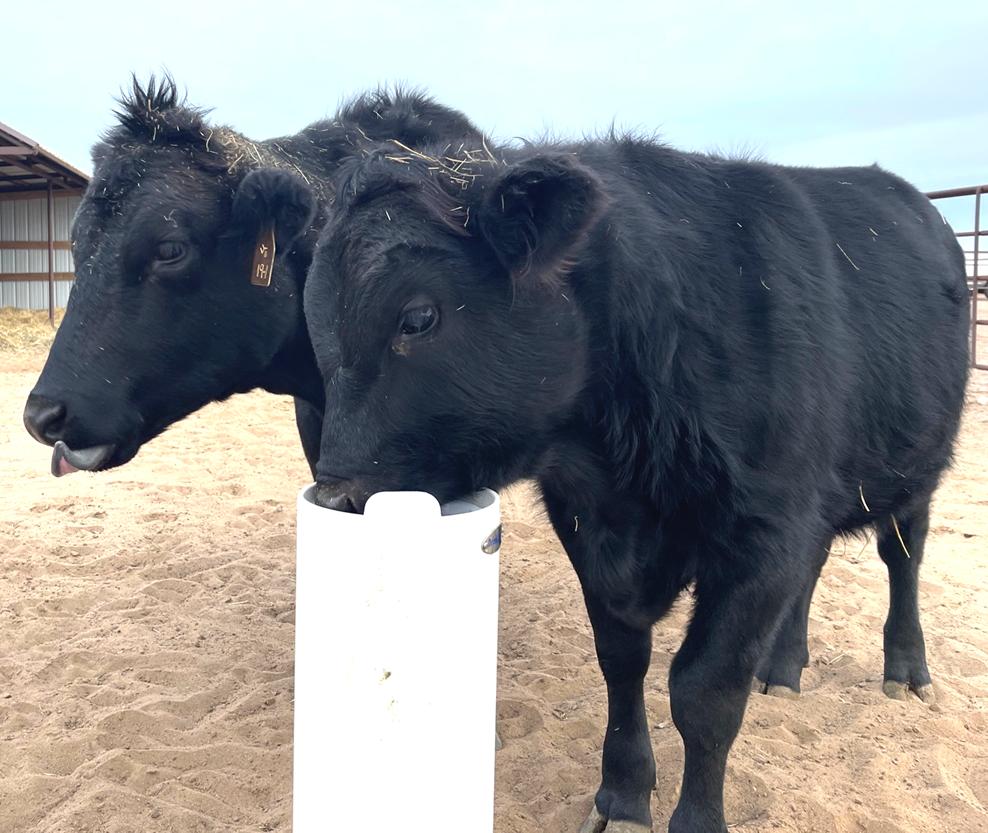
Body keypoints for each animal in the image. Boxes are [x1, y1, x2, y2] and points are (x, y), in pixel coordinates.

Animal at [302, 133, 964, 828]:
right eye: (316, 327)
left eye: (418, 317)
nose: (338, 495)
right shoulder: (588, 524)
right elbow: (621, 661)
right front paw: (621, 793)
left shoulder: (764, 533)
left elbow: (704, 691)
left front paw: (696, 819)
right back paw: (783, 668)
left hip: (914, 473)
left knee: (903, 556)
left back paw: (906, 670)